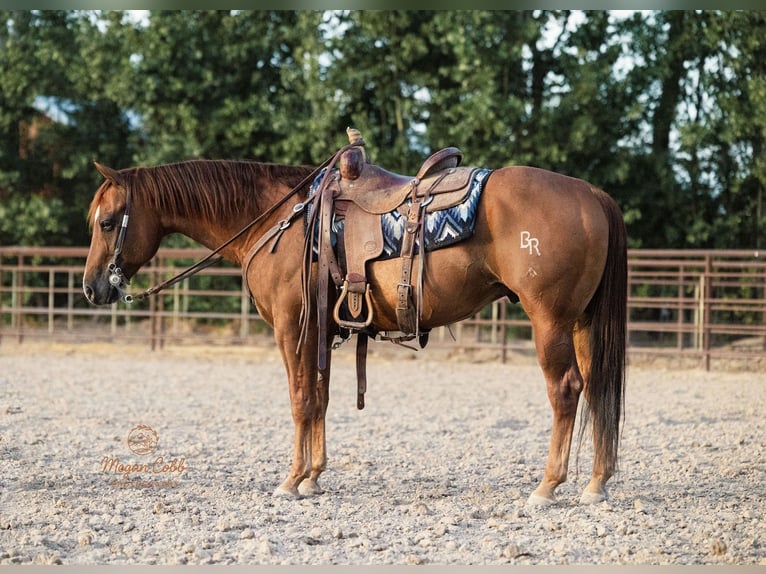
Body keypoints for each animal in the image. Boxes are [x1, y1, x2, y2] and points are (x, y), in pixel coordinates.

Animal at [82, 152, 627, 506]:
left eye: (108, 222)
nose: (91, 288)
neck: (279, 220)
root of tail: (591, 194)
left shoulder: (292, 328)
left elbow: (300, 399)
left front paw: (291, 480)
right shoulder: (320, 332)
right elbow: (320, 397)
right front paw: (314, 476)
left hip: (549, 321)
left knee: (566, 389)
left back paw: (547, 487)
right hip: (580, 322)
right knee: (598, 387)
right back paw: (596, 483)